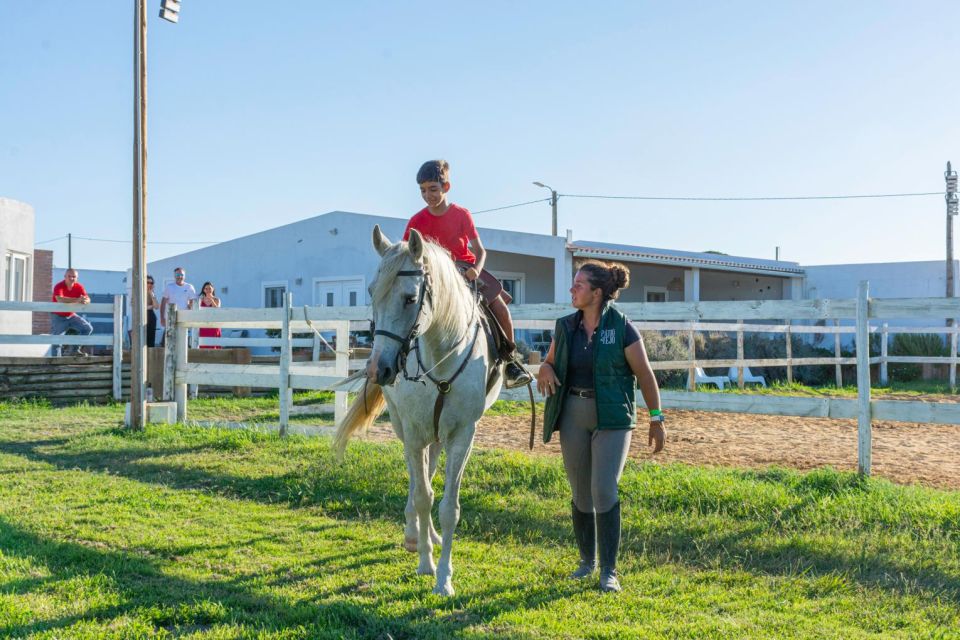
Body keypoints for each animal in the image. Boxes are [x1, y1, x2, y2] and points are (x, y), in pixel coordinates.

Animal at [334, 225, 502, 596]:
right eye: (372, 293)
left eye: (410, 298)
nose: (378, 369)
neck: (440, 357)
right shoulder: (413, 432)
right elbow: (423, 495)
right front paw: (426, 563)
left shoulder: (463, 435)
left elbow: (448, 506)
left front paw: (445, 579)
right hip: (407, 428)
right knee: (416, 479)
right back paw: (414, 534)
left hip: (438, 435)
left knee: (431, 473)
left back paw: (430, 535)